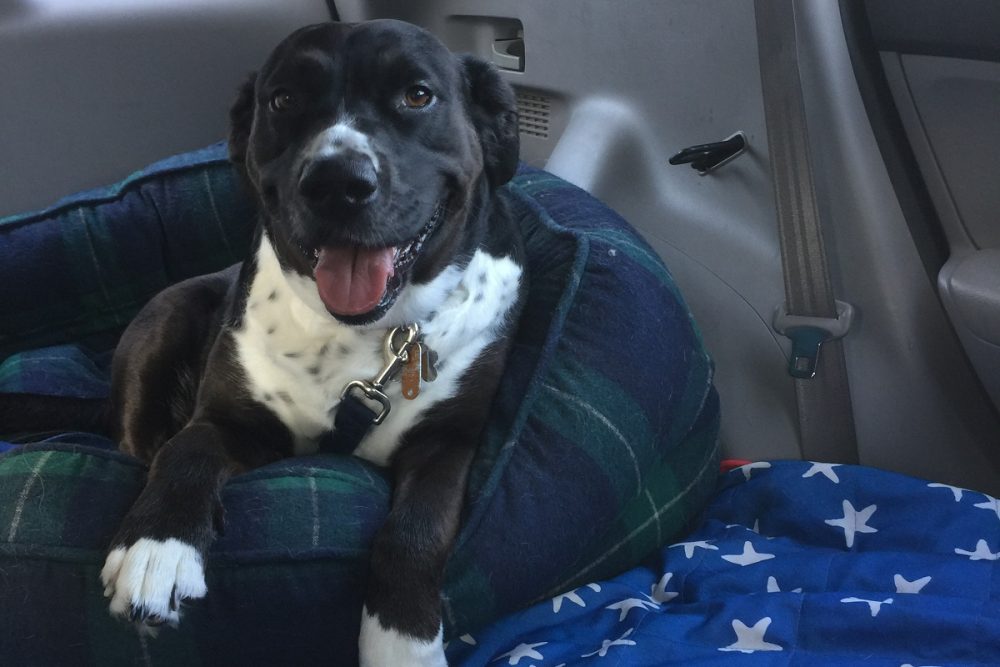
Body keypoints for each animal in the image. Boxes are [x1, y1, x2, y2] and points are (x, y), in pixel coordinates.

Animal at [80, 18, 524, 664]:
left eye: (418, 95)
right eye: (283, 100)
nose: (337, 182)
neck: (364, 333)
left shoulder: (448, 444)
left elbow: (415, 532)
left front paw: (401, 642)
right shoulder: (234, 419)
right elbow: (186, 450)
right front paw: (156, 548)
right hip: (165, 315)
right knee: (142, 442)